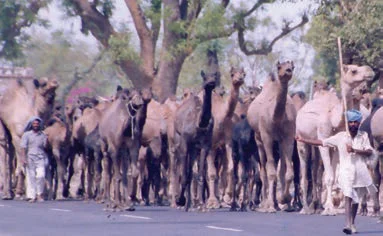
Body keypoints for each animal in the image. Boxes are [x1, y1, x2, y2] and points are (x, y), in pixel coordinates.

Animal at [175, 70, 219, 210]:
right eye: (204, 77)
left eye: (215, 76)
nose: (211, 82)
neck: (200, 123)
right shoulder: (185, 142)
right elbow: (184, 175)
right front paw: (180, 201)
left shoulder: (205, 145)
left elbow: (200, 176)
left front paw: (203, 205)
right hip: (180, 142)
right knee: (185, 172)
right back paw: (185, 204)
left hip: (194, 148)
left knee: (191, 173)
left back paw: (190, 204)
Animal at [248, 60, 298, 212]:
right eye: (279, 67)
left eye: (292, 66)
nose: (287, 71)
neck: (276, 118)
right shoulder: (267, 138)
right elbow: (270, 172)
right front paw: (270, 205)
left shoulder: (288, 137)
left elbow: (288, 172)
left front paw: (285, 199)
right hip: (259, 140)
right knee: (263, 170)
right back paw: (265, 203)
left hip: (279, 143)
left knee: (279, 170)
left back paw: (279, 203)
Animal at [296, 64, 376, 216]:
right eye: (354, 71)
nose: (370, 71)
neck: (334, 118)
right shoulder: (323, 140)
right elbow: (328, 177)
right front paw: (329, 209)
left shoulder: (335, 145)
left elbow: (332, 176)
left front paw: (328, 207)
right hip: (301, 140)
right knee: (304, 171)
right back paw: (305, 208)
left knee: (315, 169)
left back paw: (315, 206)